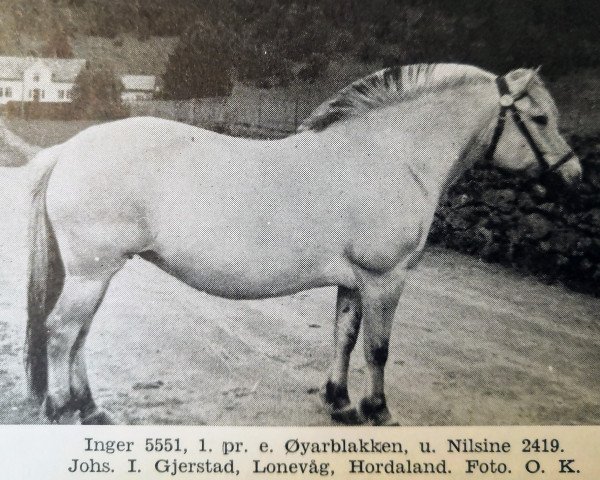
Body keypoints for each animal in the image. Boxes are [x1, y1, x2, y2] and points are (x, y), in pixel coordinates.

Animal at [23, 62, 580, 424]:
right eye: (541, 119)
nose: (574, 176)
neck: (390, 156)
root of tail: (69, 150)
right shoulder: (385, 279)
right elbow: (378, 347)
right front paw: (378, 410)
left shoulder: (355, 281)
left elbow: (345, 337)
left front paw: (339, 402)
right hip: (93, 273)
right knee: (61, 331)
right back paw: (61, 408)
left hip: (98, 274)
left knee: (79, 334)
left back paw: (89, 407)